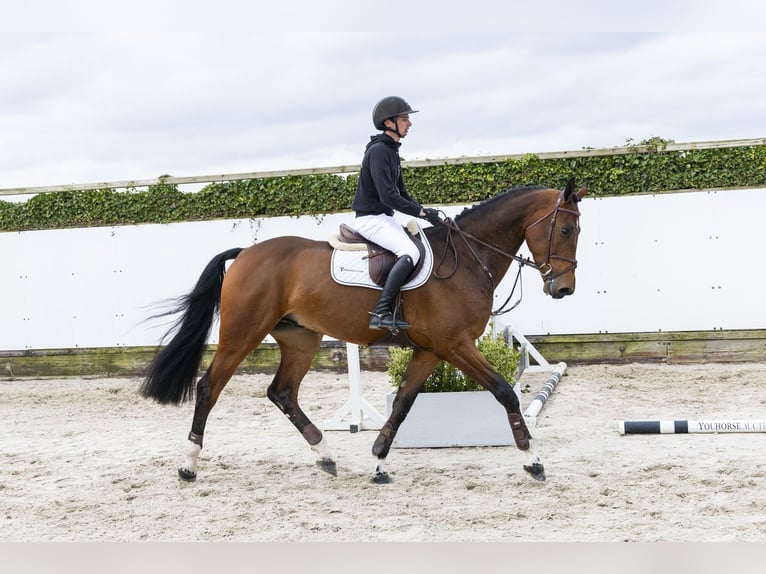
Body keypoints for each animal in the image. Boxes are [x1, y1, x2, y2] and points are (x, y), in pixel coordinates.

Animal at [140, 178, 587, 484]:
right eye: (566, 230)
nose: (563, 289)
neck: (466, 256)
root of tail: (247, 253)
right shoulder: (455, 345)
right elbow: (505, 391)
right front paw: (532, 460)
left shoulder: (431, 350)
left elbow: (403, 404)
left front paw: (378, 462)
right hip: (242, 334)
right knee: (209, 388)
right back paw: (188, 464)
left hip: (301, 338)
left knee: (282, 392)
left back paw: (325, 454)